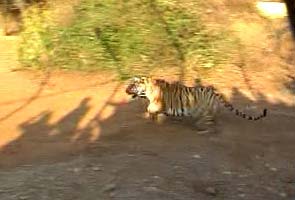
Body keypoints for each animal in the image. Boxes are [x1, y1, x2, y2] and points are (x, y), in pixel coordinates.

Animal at [126, 77, 270, 134]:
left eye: (131, 86)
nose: (125, 90)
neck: (146, 92)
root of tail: (215, 93)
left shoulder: (159, 103)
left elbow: (150, 108)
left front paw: (152, 117)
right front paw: (156, 120)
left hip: (205, 113)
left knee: (210, 125)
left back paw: (203, 131)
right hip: (206, 112)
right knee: (214, 120)